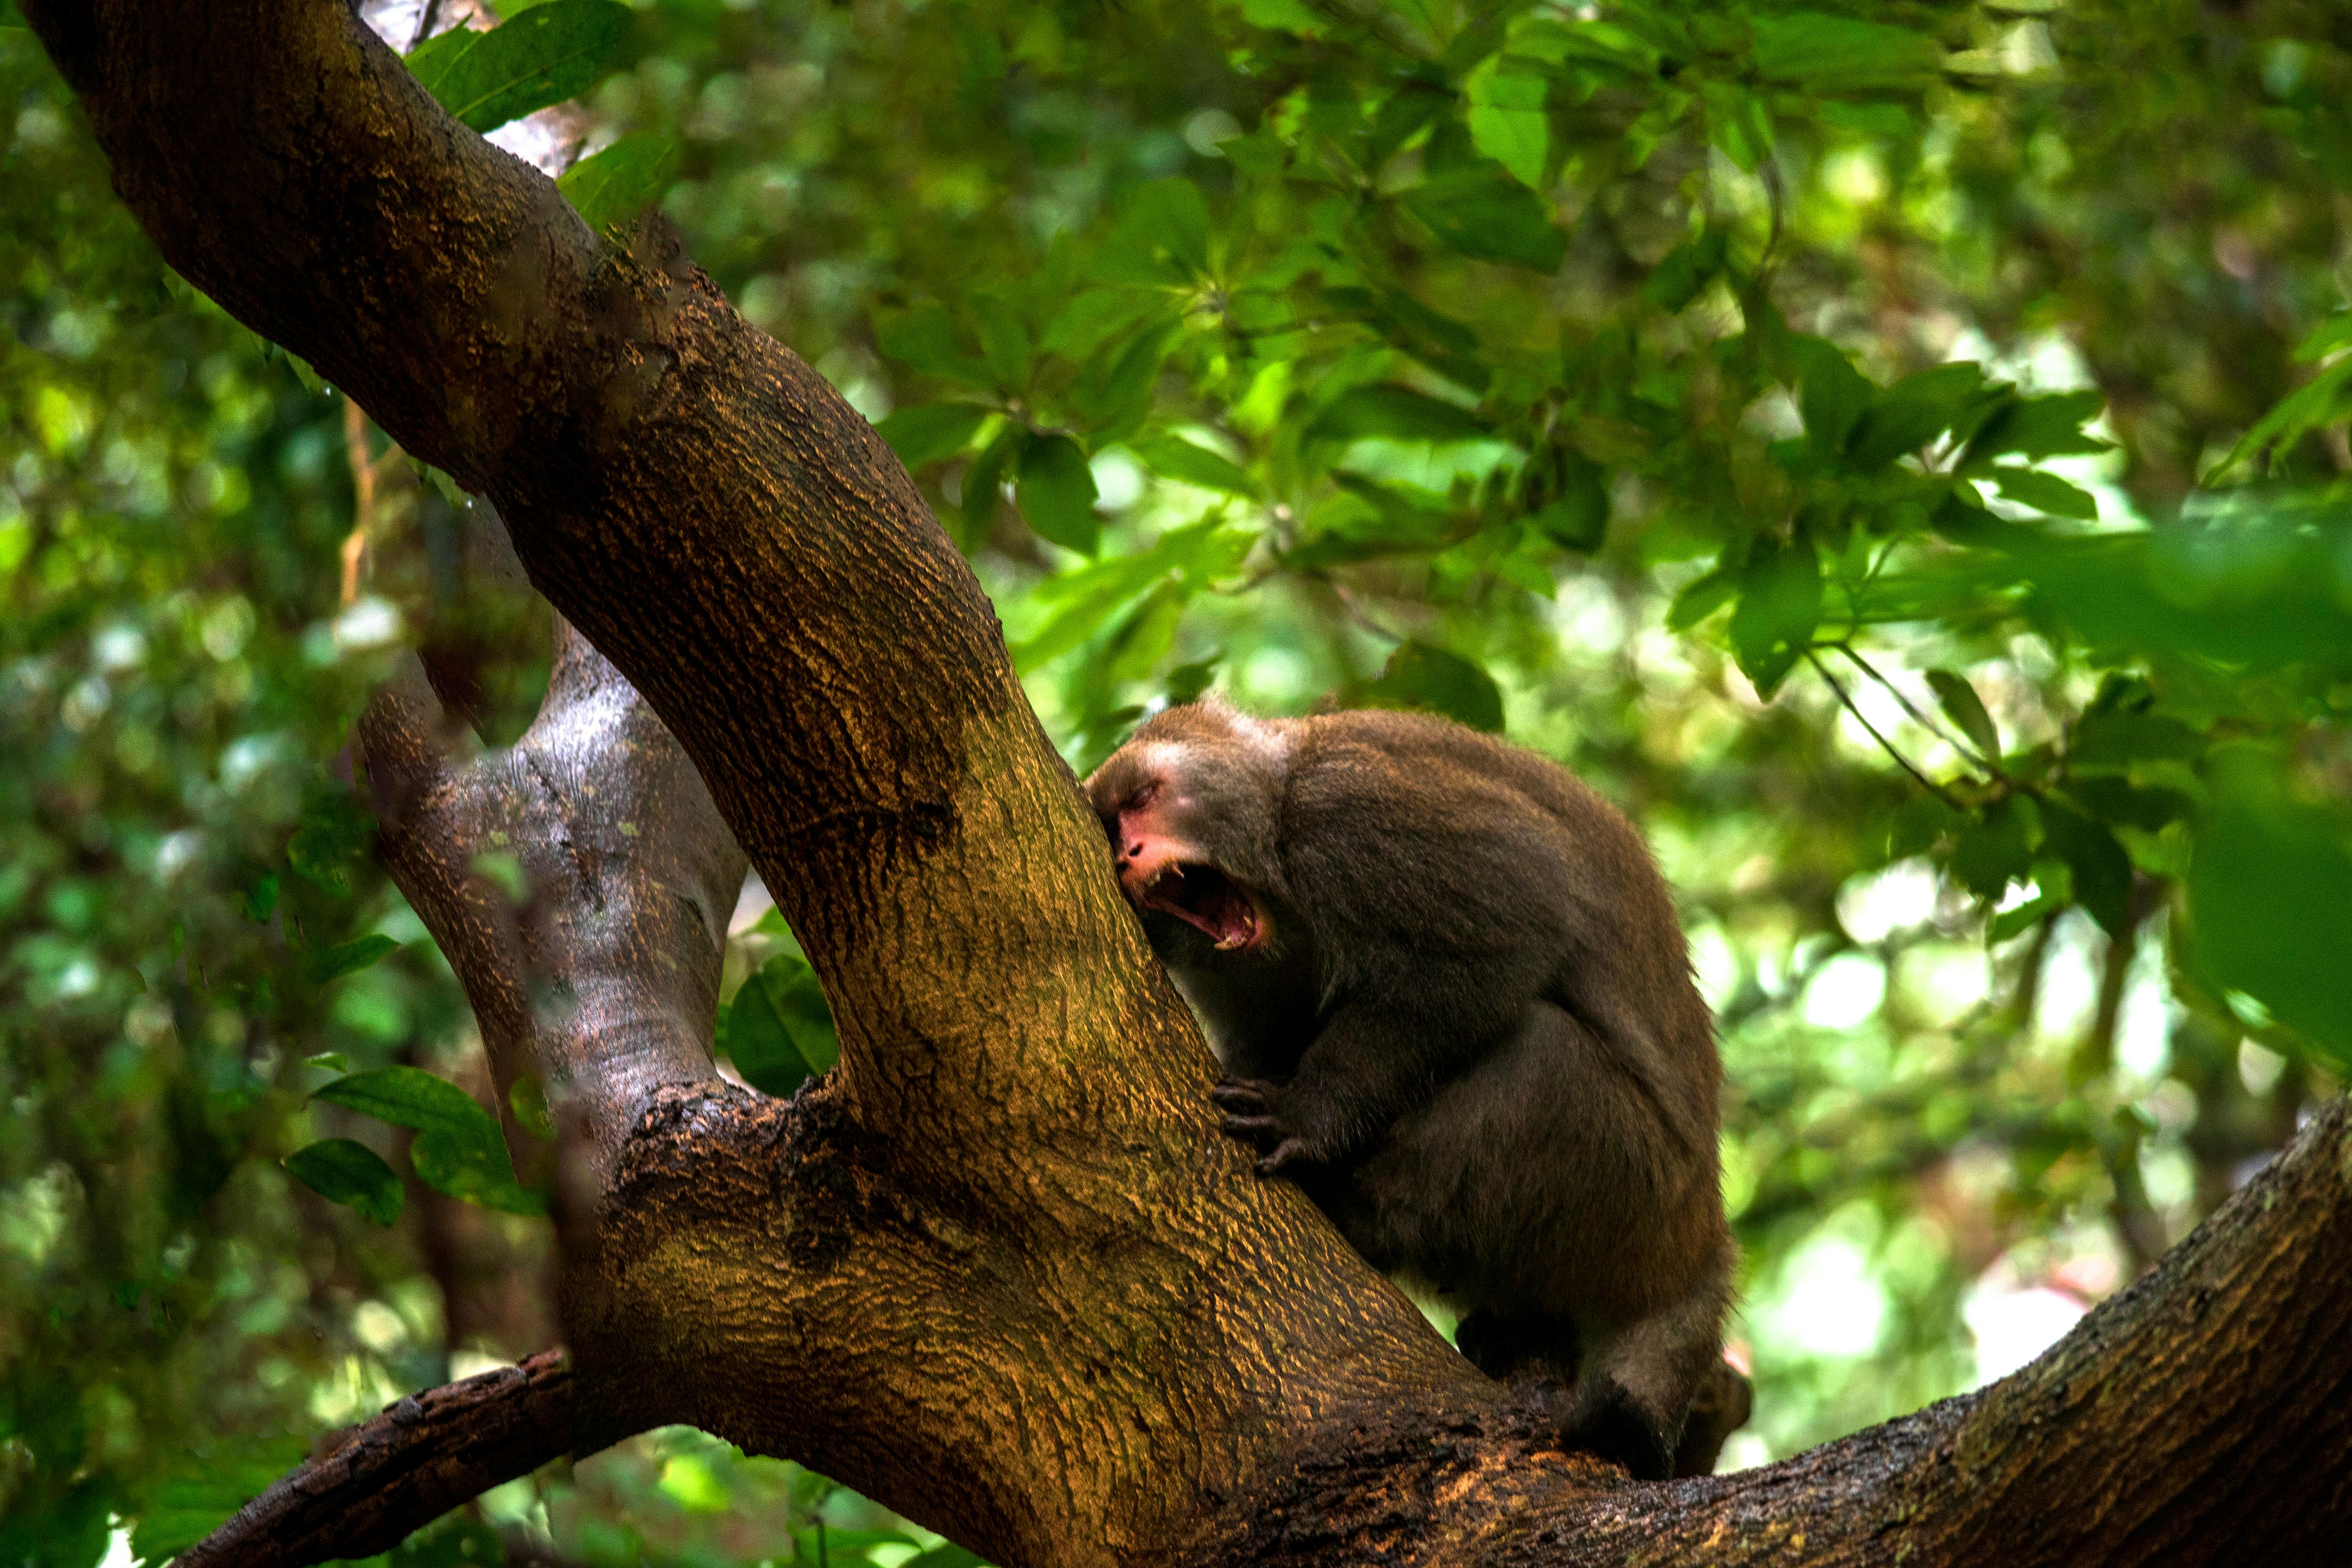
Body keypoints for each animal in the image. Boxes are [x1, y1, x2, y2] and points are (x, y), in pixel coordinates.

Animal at [1091, 700, 1740, 1486]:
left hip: (1633, 1187)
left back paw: (1360, 1212)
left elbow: (1501, 938)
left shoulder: (1353, 815)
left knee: (1542, 1055)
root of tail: (1703, 1229)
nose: (1127, 854)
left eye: (1143, 798)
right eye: (1111, 824)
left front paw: (1307, 1115)